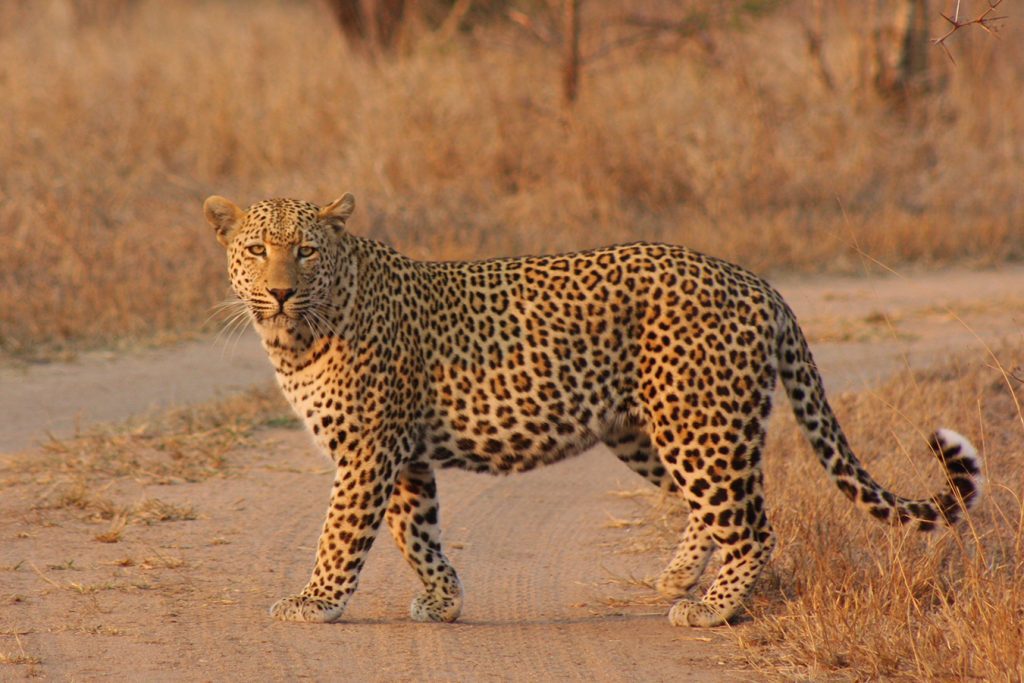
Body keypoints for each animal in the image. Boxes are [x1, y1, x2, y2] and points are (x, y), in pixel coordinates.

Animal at [203, 192, 982, 628]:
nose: (278, 292)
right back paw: (681, 577)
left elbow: (342, 534)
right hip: (655, 431)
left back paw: (710, 607)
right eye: (256, 249)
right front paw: (443, 601)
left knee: (754, 524)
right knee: (715, 510)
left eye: (305, 252)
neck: (297, 334)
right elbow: (414, 532)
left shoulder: (368, 450)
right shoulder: (405, 456)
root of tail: (756, 281)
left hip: (698, 424)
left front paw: (315, 601)